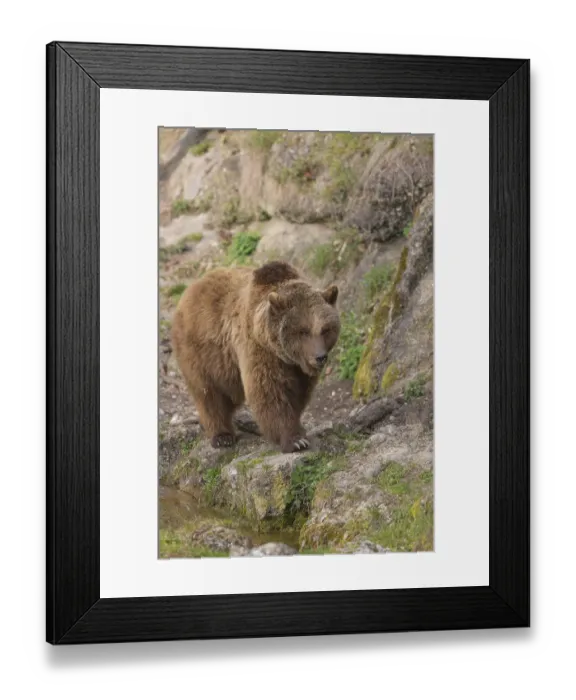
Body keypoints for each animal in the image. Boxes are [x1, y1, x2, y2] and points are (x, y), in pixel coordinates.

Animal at [171, 261, 340, 453]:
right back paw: (222, 436)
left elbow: (298, 394)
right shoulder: (259, 349)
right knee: (208, 393)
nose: (320, 357)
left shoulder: (298, 368)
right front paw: (295, 440)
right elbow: (269, 391)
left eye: (326, 329)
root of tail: (190, 288)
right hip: (200, 351)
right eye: (303, 331)